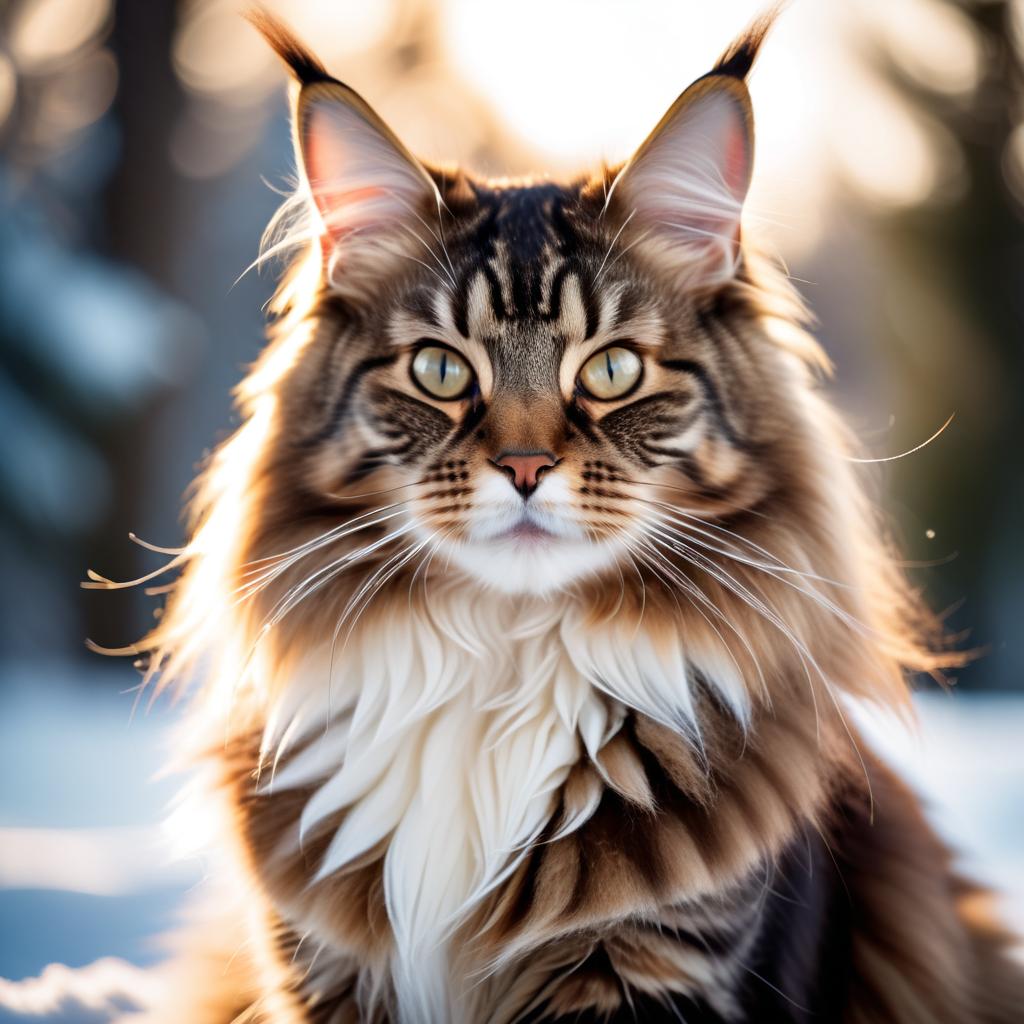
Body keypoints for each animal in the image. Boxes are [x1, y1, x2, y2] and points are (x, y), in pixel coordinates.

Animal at [92, 9, 1019, 1024]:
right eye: (440, 370)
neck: (501, 673)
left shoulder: (651, 967)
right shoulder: (319, 968)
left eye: (612, 371)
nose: (525, 466)